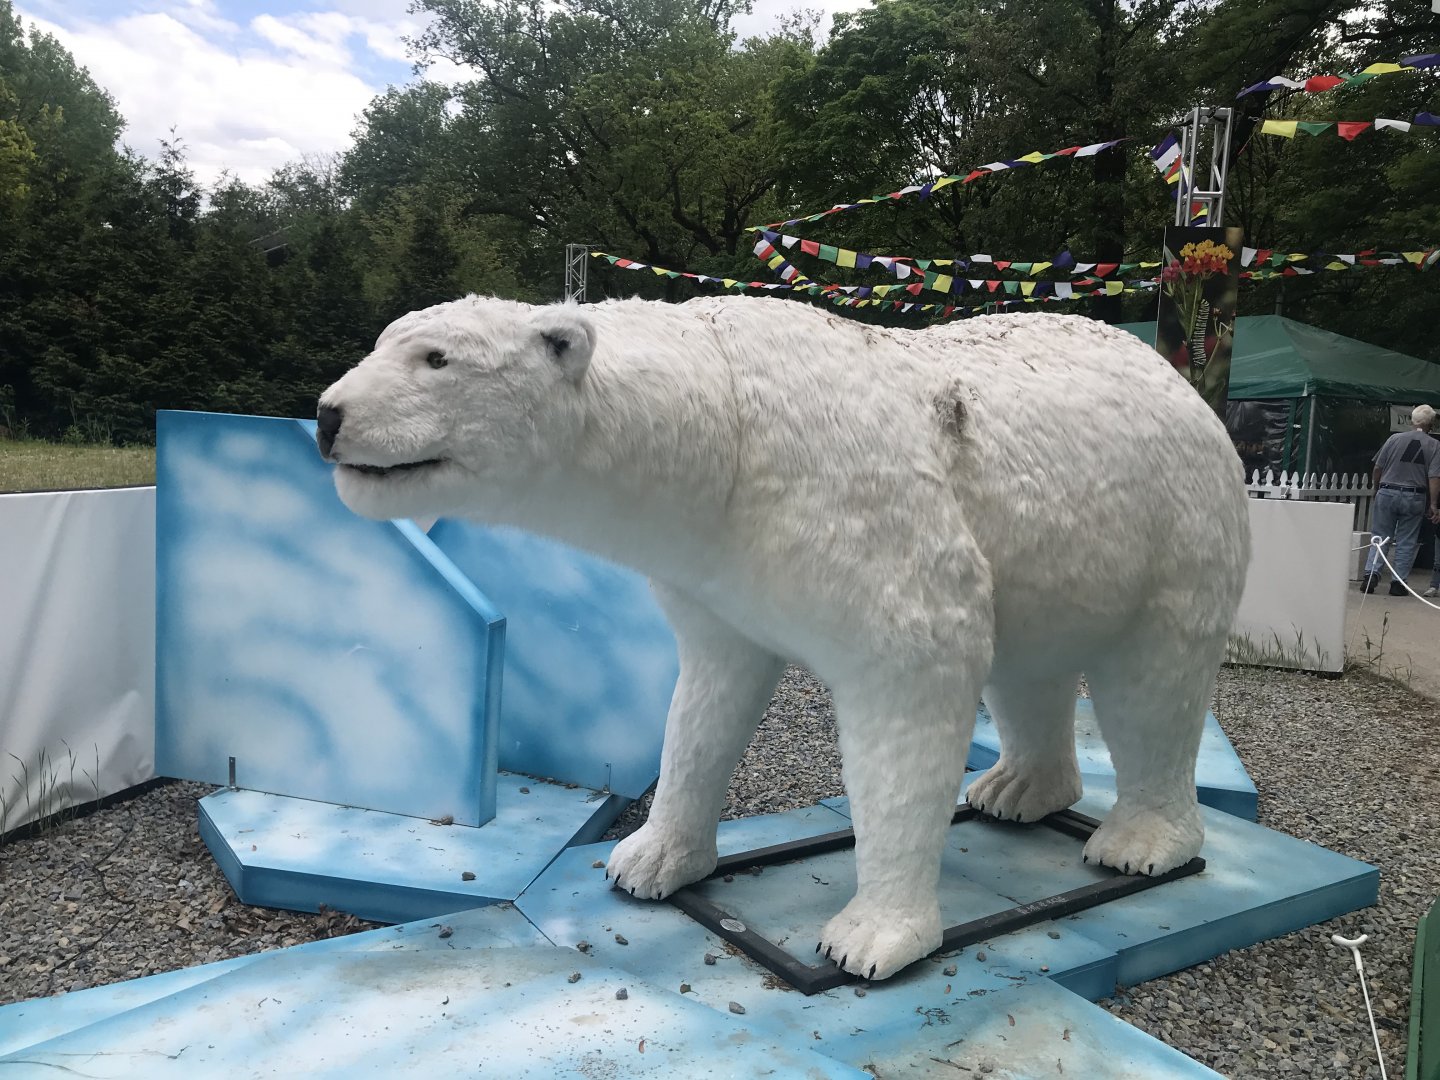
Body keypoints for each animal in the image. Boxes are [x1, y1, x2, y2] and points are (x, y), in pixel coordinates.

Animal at [316, 294, 1251, 982]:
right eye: (383, 341)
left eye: (436, 360)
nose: (327, 415)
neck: (725, 421)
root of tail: (1180, 380)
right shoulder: (718, 565)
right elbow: (707, 702)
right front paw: (647, 860)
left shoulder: (856, 510)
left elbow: (915, 683)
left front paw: (870, 938)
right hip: (1064, 541)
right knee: (1032, 660)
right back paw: (1017, 789)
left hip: (1177, 524)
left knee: (1155, 683)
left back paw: (1139, 845)